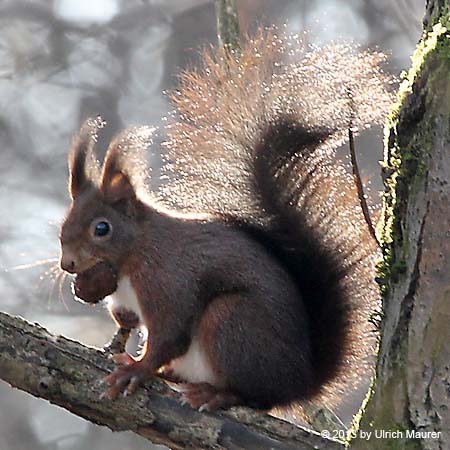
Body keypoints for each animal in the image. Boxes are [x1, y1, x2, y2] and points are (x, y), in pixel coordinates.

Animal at [59, 31, 390, 412]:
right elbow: (128, 317)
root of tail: (299, 383)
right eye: (64, 224)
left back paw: (214, 393)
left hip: (230, 321)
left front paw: (136, 370)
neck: (136, 252)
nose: (67, 264)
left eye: (102, 228)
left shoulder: (166, 280)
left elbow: (168, 335)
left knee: (254, 395)